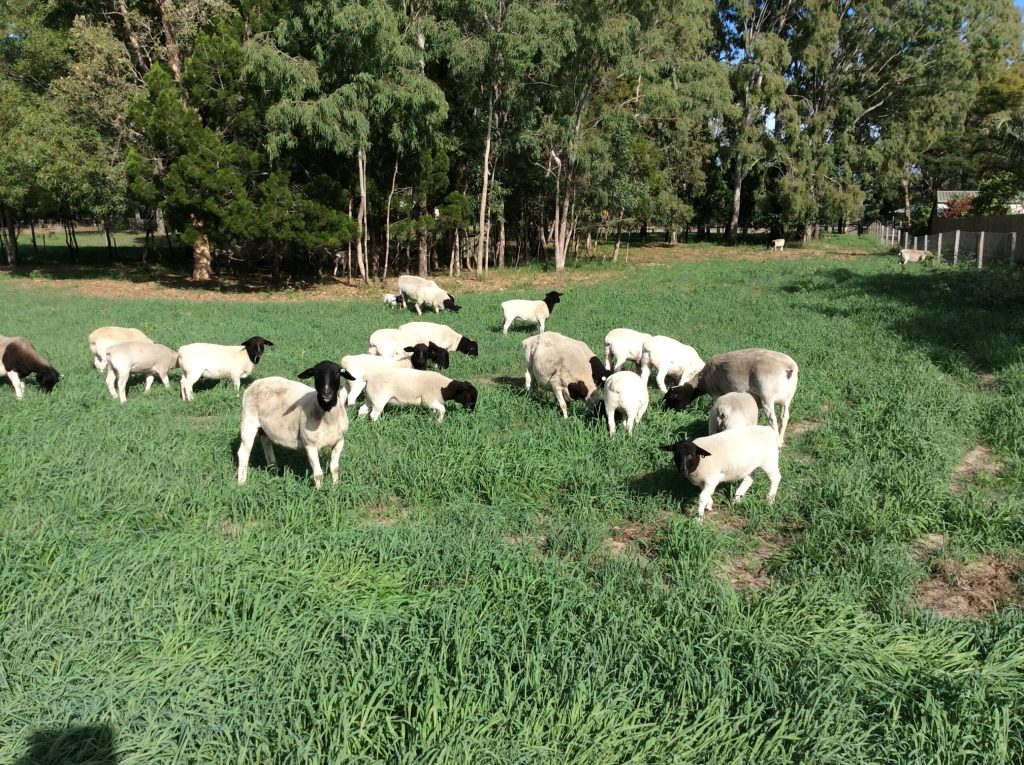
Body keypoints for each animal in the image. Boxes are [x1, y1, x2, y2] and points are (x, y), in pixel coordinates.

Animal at [665, 348, 798, 446]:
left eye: (672, 399)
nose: (665, 411)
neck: (701, 381)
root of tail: (788, 367)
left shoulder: (716, 393)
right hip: (788, 398)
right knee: (784, 417)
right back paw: (781, 439)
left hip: (767, 395)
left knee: (772, 418)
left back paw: (777, 441)